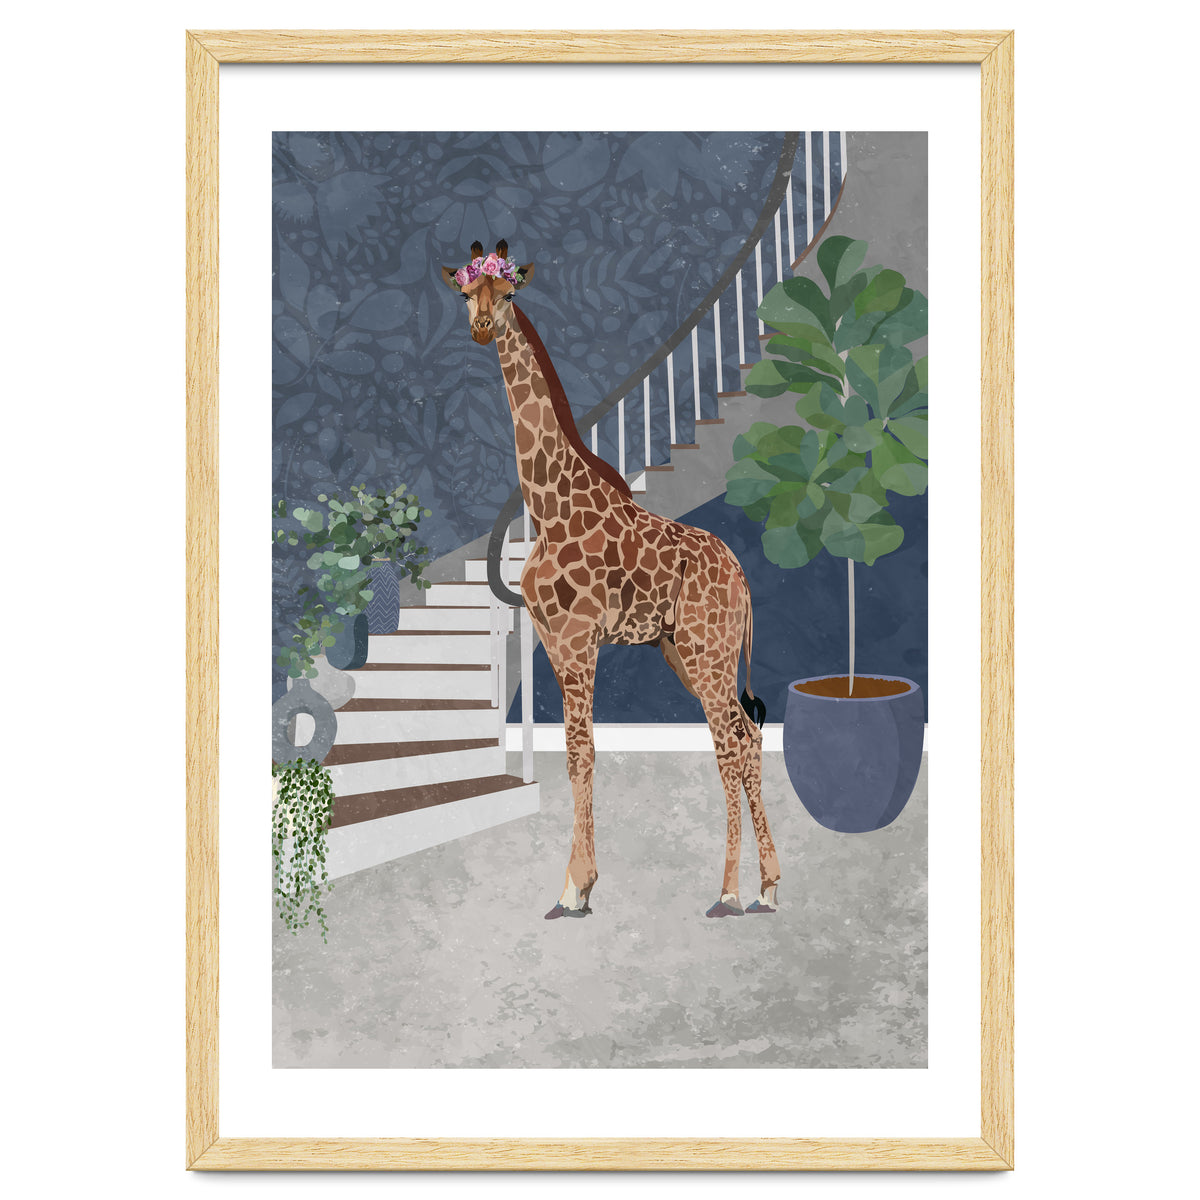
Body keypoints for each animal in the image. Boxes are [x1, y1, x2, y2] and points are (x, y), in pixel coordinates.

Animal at [441, 239, 781, 920]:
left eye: (509, 292)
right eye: (466, 292)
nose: (483, 326)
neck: (548, 505)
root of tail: (742, 576)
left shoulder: (578, 641)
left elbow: (582, 750)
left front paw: (574, 887)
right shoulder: (551, 641)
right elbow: (577, 754)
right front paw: (580, 883)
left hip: (707, 651)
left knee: (730, 744)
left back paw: (729, 891)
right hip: (688, 651)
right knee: (747, 736)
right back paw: (767, 886)